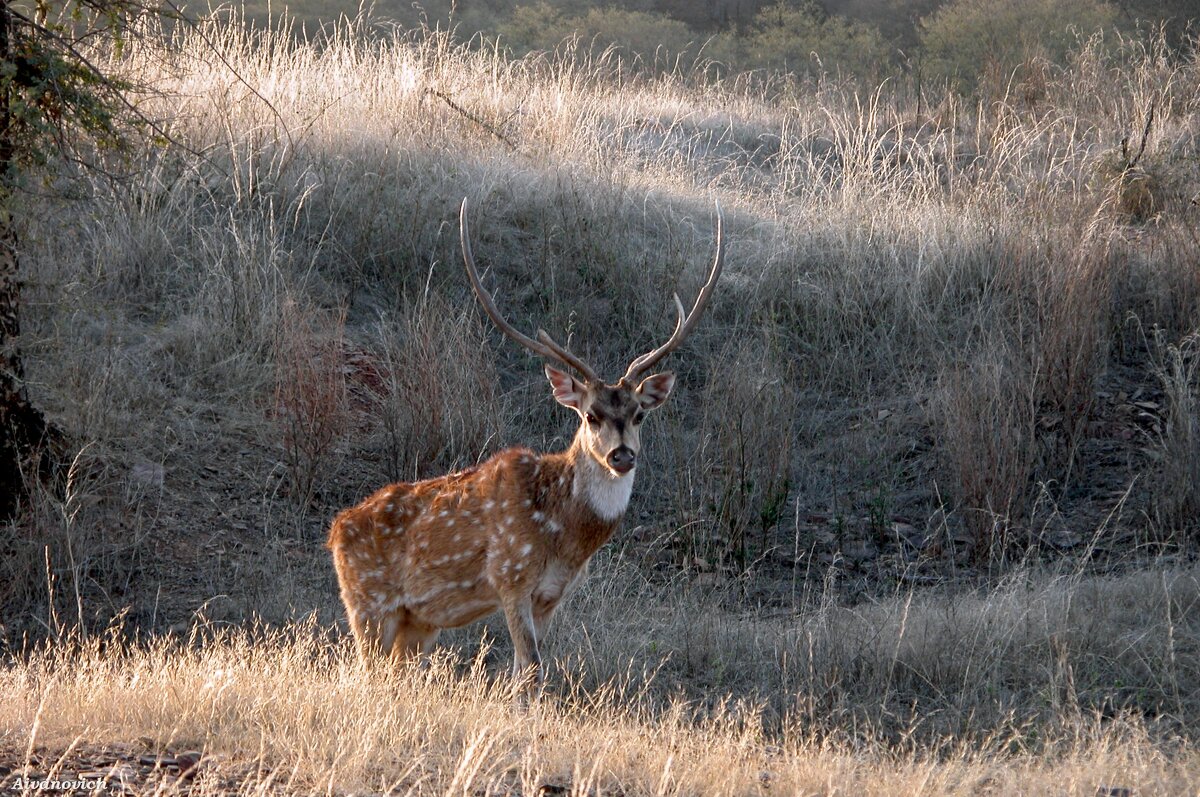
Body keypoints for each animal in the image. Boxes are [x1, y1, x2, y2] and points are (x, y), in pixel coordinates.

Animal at [324, 198, 724, 686]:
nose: (622, 455)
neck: (565, 537)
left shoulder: (551, 594)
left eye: (639, 414)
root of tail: (334, 531)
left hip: (416, 621)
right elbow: (530, 668)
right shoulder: (510, 575)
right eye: (590, 414)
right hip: (366, 604)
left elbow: (528, 670)